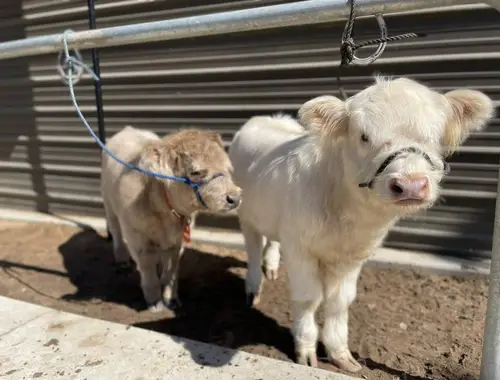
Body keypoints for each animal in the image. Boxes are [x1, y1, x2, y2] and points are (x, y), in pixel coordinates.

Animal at [229, 76, 494, 372]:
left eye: (435, 136)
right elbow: (308, 298)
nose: (411, 185)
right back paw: (253, 288)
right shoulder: (299, 248)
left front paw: (341, 354)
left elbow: (340, 301)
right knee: (252, 247)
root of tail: (265, 118)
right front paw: (306, 353)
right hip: (244, 211)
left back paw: (272, 268)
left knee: (271, 240)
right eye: (364, 136)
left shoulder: (353, 255)